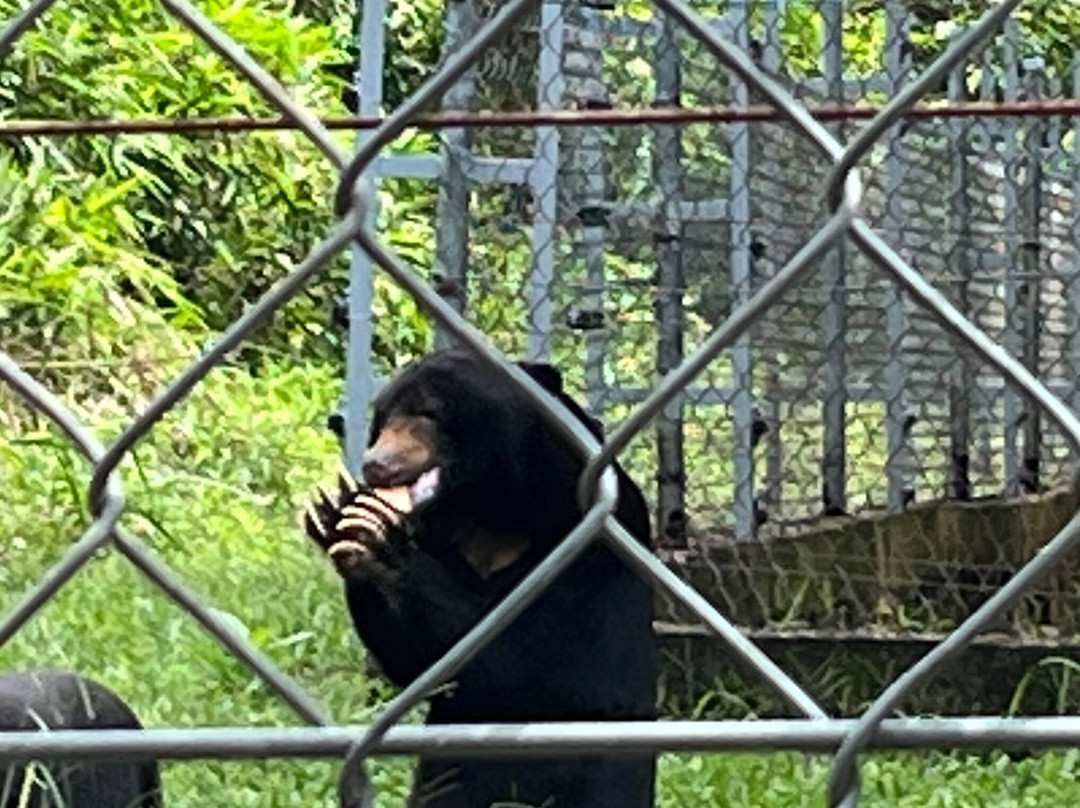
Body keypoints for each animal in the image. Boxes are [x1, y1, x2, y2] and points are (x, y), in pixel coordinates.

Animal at [304, 347, 657, 808]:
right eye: (383, 419)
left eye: (428, 413)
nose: (377, 465)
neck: (491, 504)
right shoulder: (445, 539)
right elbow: (419, 663)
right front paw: (336, 512)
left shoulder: (587, 543)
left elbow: (518, 656)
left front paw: (377, 534)